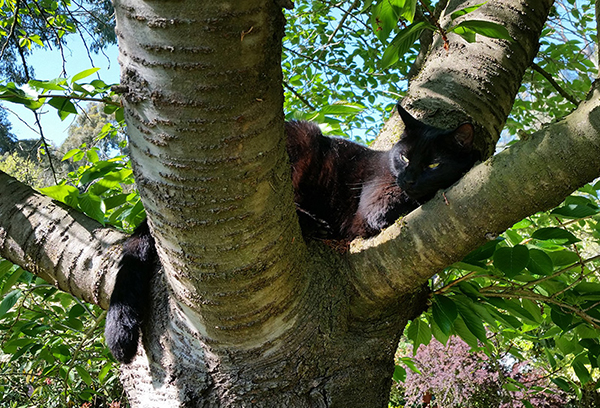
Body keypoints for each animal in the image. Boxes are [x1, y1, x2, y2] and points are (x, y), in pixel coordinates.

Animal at [103, 103, 478, 364]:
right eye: (404, 158)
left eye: (433, 164)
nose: (410, 178)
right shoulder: (373, 206)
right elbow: (388, 209)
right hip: (299, 144)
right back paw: (314, 223)